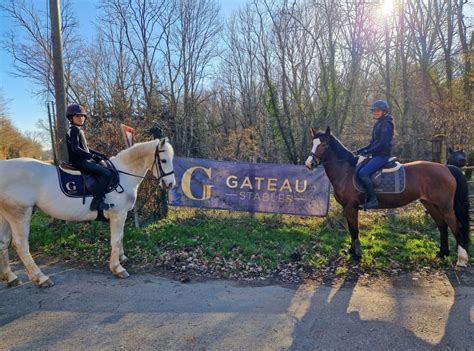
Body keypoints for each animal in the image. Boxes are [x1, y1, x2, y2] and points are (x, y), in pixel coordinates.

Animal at [0, 138, 175, 288]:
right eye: (164, 160)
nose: (170, 184)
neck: (123, 174)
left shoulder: (121, 215)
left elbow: (120, 237)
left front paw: (122, 258)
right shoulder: (118, 214)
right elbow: (116, 240)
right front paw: (117, 267)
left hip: (6, 215)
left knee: (3, 242)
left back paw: (11, 277)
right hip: (19, 214)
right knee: (21, 245)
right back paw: (41, 278)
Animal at [306, 128, 468, 268]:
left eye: (324, 144)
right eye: (312, 143)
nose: (309, 163)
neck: (346, 171)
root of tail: (446, 168)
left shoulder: (351, 207)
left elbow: (354, 230)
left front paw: (357, 254)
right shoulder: (348, 208)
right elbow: (352, 230)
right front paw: (352, 251)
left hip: (445, 206)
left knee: (456, 226)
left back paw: (461, 260)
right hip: (430, 204)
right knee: (442, 226)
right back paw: (442, 254)